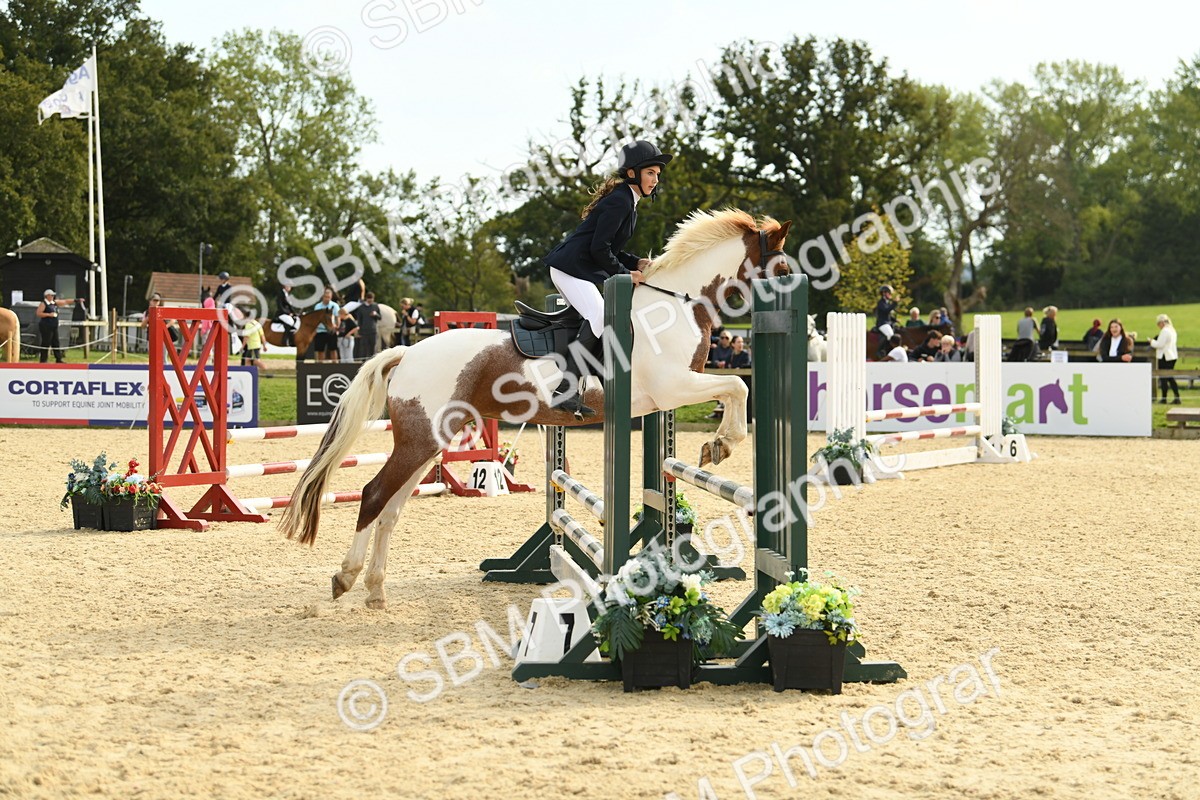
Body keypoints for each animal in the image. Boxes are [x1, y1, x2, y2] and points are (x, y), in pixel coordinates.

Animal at [277, 209, 793, 608]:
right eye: (785, 269)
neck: (674, 306)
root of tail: (406, 351)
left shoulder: (667, 395)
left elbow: (731, 392)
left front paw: (716, 447)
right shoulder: (672, 388)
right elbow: (736, 388)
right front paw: (721, 445)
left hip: (430, 442)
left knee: (392, 508)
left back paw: (376, 590)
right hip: (420, 441)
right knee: (374, 496)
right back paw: (345, 579)